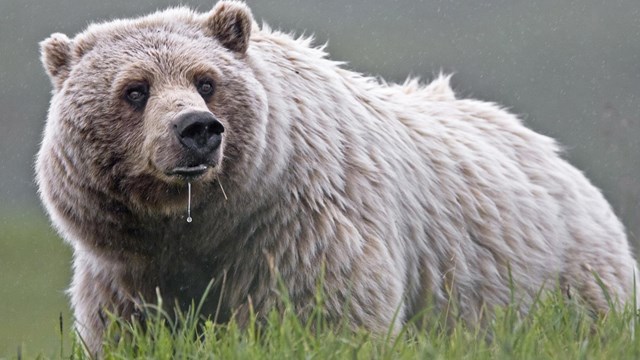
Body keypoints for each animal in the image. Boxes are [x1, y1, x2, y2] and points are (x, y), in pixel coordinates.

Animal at [37, 0, 636, 354]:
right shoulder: (131, 275)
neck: (204, 225)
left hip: (560, 284)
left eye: (206, 81)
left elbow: (328, 316)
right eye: (135, 89)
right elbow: (136, 331)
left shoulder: (300, 231)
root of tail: (559, 158)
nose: (197, 129)